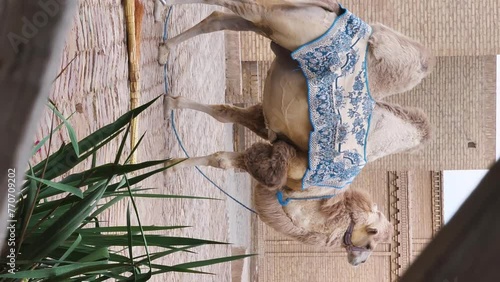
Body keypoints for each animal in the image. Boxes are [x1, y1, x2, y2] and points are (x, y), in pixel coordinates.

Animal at [156, 0, 434, 266]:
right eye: (371, 240)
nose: (358, 261)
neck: (314, 195)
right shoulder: (283, 165)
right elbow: (224, 160)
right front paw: (167, 166)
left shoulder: (268, 127)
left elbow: (222, 117)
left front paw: (171, 104)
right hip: (282, 24)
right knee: (243, 8)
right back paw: (163, 12)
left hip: (274, 25)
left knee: (220, 20)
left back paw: (164, 49)